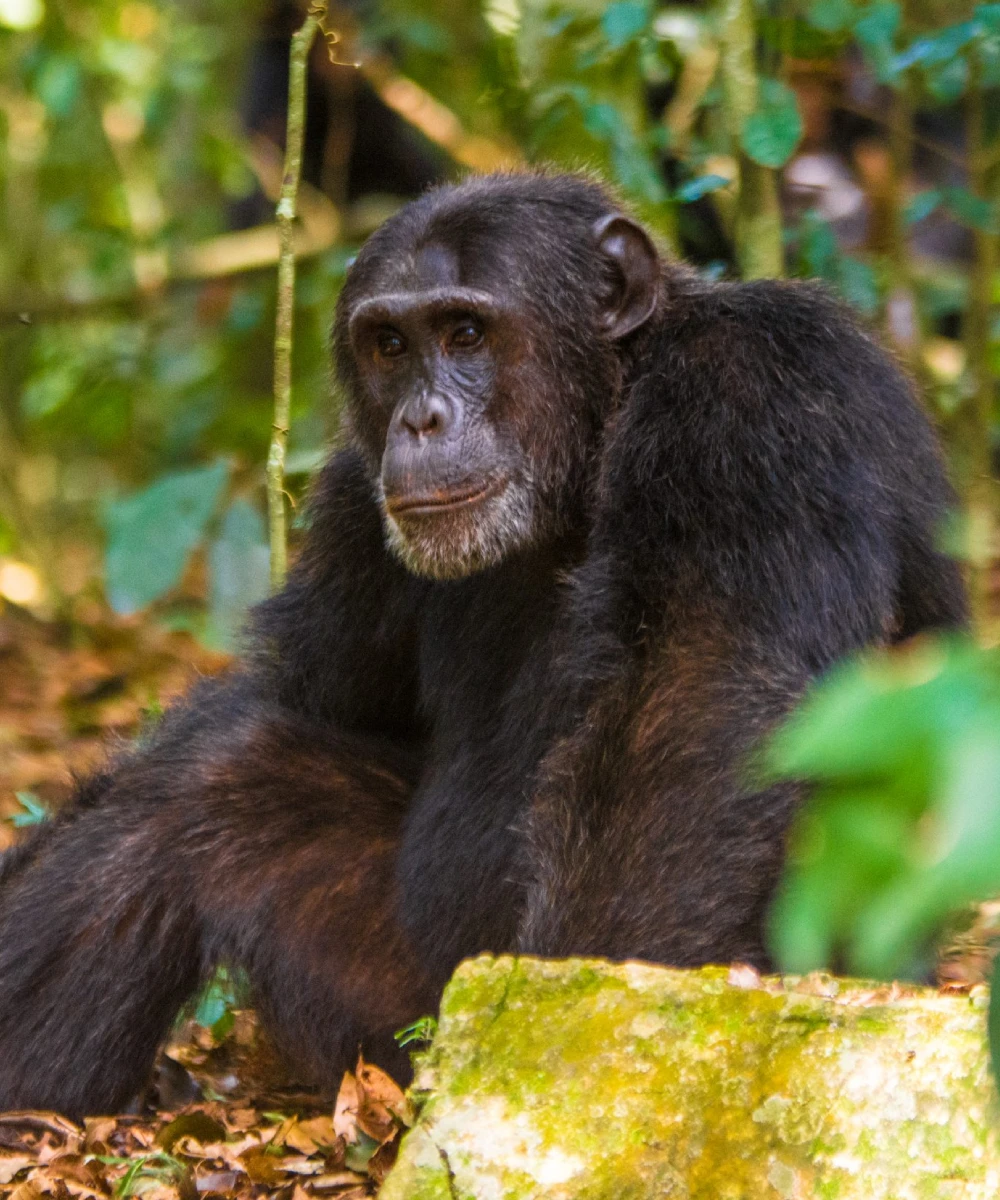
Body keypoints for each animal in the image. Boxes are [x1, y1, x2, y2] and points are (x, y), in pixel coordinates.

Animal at [0, 170, 966, 1118]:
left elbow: (698, 703)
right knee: (212, 774)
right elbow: (310, 694)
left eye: (466, 332)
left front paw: (586, 1061)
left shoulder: (752, 393)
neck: (596, 430)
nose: (420, 420)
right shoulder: (354, 501)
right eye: (390, 345)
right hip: (394, 1015)